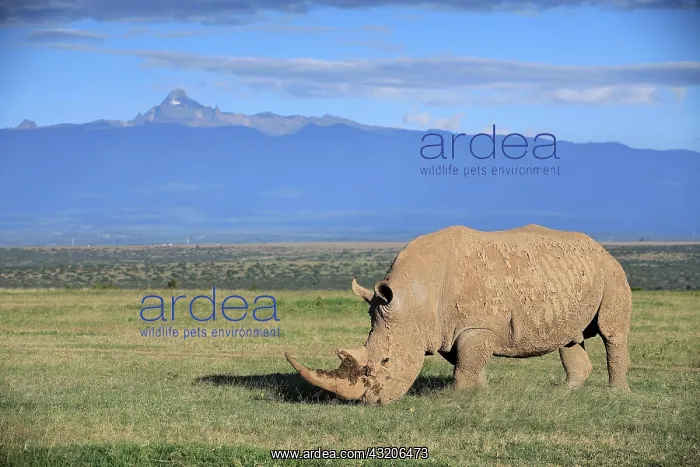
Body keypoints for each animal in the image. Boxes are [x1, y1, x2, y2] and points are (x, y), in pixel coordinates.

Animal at [285, 224, 632, 405]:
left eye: (386, 361)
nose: (371, 402)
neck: (414, 299)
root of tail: (601, 247)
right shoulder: (448, 328)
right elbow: (467, 362)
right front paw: (481, 392)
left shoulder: (476, 327)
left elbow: (465, 365)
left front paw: (457, 398)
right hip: (575, 274)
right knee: (570, 339)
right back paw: (564, 393)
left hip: (612, 272)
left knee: (612, 333)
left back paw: (617, 394)